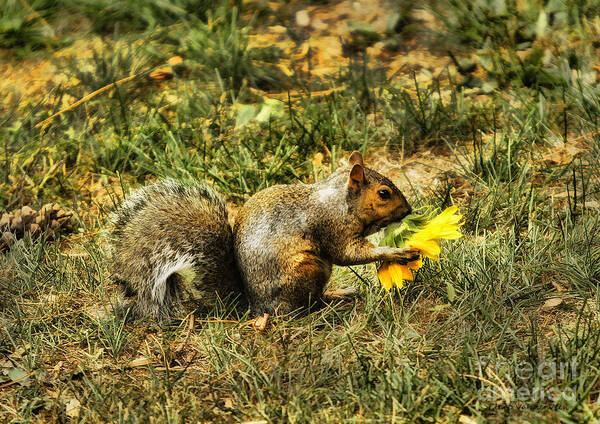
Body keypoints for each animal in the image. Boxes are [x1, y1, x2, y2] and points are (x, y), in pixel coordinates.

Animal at [108, 151, 418, 320]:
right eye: (383, 193)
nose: (409, 210)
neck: (339, 199)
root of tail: (255, 306)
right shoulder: (332, 227)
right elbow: (348, 253)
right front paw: (398, 252)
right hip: (307, 268)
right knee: (304, 307)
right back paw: (330, 304)